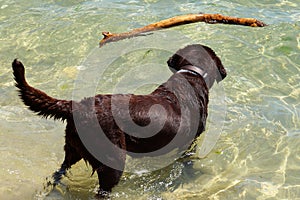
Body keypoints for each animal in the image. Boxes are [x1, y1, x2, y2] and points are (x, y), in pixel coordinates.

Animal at [12, 44, 227, 196]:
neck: (191, 73)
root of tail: (77, 105)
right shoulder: (190, 143)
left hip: (72, 150)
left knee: (58, 173)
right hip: (112, 160)